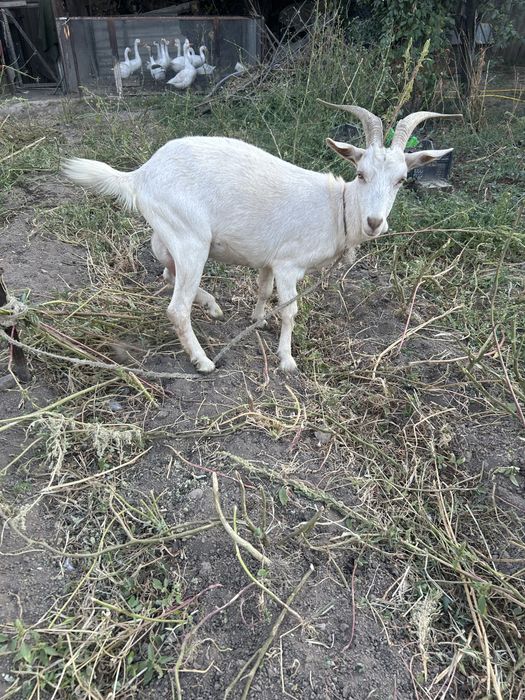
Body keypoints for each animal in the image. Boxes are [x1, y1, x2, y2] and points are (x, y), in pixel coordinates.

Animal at [62, 104, 458, 373]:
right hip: (191, 238)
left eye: (401, 180)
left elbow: (263, 290)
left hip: (170, 227)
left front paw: (257, 320)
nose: (375, 222)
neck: (336, 207)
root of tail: (140, 174)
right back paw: (203, 360)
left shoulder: (269, 260)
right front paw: (286, 359)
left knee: (163, 263)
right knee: (176, 305)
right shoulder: (289, 264)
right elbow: (290, 310)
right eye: (361, 174)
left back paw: (212, 305)